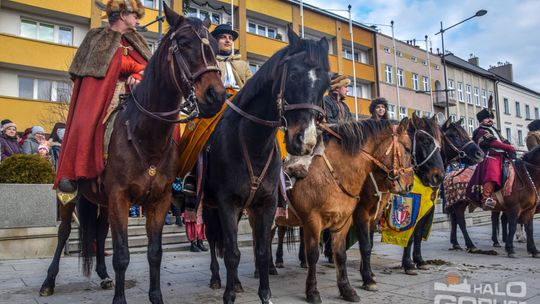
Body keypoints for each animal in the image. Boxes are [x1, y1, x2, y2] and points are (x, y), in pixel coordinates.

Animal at [42, 5, 226, 304]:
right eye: (184, 42)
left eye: (211, 45)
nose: (216, 97)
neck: (145, 136)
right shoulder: (120, 198)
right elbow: (122, 255)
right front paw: (120, 299)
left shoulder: (158, 200)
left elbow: (154, 253)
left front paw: (156, 297)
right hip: (70, 195)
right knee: (63, 232)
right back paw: (48, 281)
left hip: (102, 201)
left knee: (99, 230)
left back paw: (103, 276)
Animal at [201, 26, 330, 304]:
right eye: (293, 75)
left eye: (325, 84)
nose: (306, 141)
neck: (252, 143)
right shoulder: (227, 203)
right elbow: (232, 253)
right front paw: (228, 295)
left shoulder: (267, 204)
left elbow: (261, 251)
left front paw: (265, 294)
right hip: (207, 206)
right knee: (214, 241)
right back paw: (216, 278)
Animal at [272, 117, 416, 302]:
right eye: (407, 149)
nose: (410, 185)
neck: (331, 174)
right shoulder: (314, 220)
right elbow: (314, 255)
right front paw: (312, 291)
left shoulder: (344, 221)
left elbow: (341, 254)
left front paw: (347, 289)